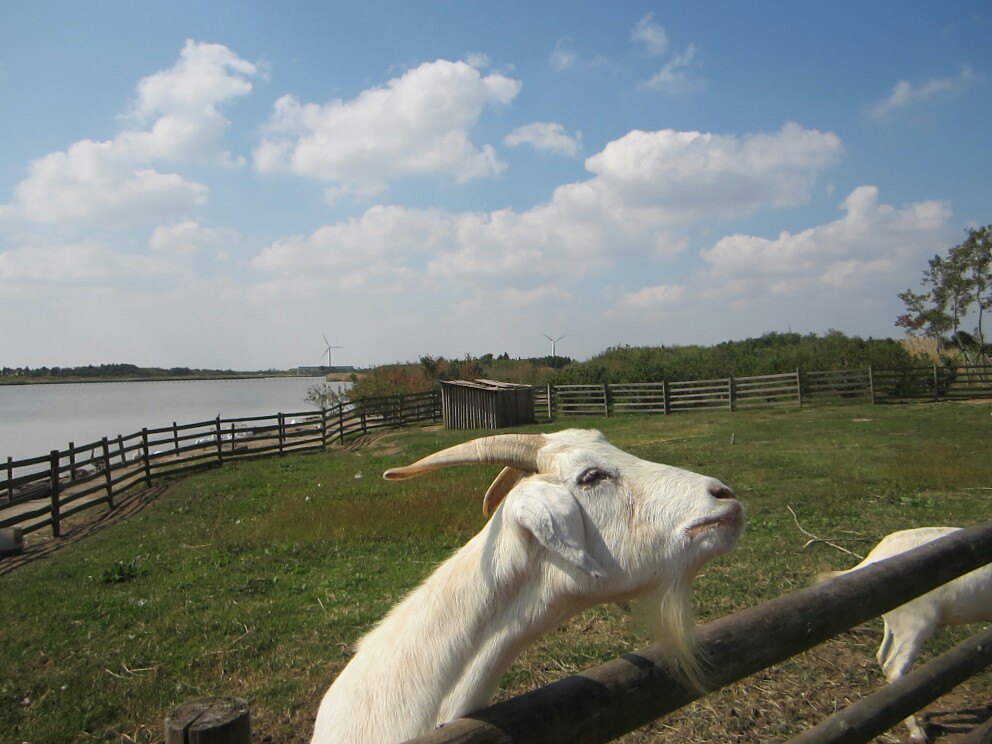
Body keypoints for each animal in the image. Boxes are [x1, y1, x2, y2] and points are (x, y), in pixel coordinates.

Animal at [820, 528, 992, 740]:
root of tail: (873, 558)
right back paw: (918, 731)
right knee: (895, 669)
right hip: (916, 622)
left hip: (896, 620)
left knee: (882, 656)